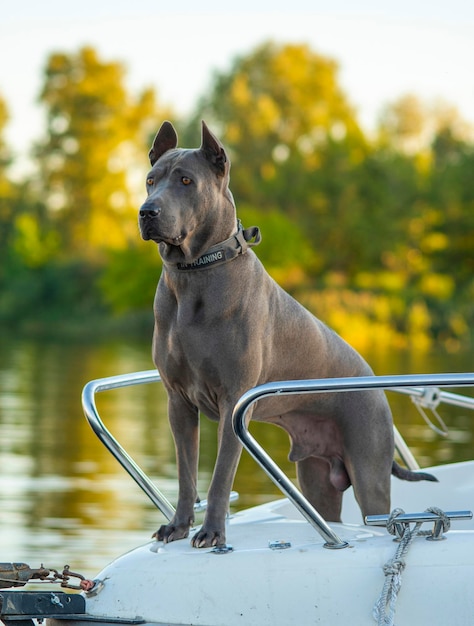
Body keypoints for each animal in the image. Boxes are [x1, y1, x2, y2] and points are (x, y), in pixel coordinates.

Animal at [138, 120, 436, 544]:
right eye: (151, 180)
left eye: (185, 180)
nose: (147, 211)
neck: (195, 273)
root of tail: (375, 384)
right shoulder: (178, 402)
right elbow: (185, 474)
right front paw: (178, 526)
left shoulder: (234, 401)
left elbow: (220, 477)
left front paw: (212, 533)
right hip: (317, 479)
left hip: (370, 473)